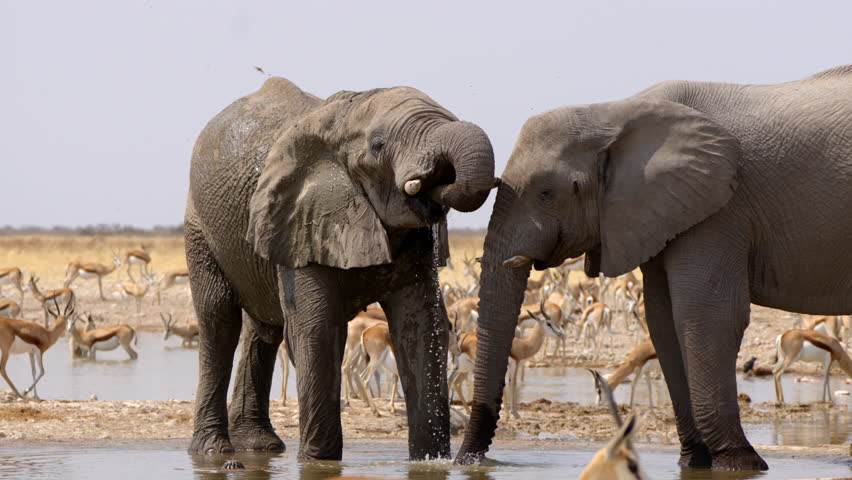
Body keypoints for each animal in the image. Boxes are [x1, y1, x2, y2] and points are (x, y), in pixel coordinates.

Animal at [185, 77, 497, 460]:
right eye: (378, 145)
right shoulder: (303, 222)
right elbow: (317, 329)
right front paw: (319, 463)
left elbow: (422, 327)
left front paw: (430, 461)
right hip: (200, 225)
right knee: (219, 321)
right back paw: (214, 452)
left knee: (263, 331)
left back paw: (261, 447)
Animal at [455, 65, 852, 470]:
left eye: (547, 193)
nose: (470, 460)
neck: (614, 112)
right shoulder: (661, 211)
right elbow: (663, 320)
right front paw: (696, 463)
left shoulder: (719, 208)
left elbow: (708, 315)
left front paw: (742, 463)